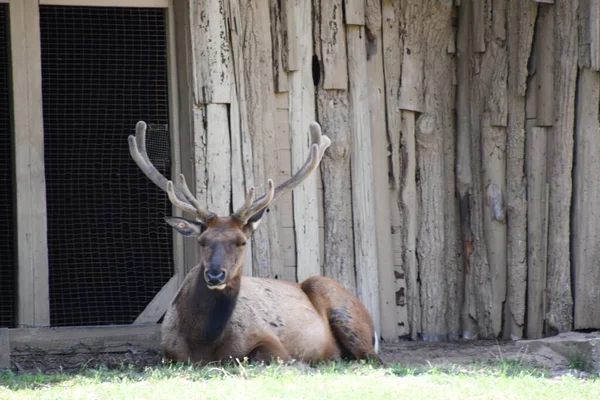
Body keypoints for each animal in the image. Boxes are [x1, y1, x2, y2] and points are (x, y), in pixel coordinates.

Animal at [129, 119, 380, 366]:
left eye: (241, 242)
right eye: (202, 241)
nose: (215, 275)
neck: (203, 342)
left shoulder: (271, 341)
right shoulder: (169, 353)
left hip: (339, 304)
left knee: (372, 357)